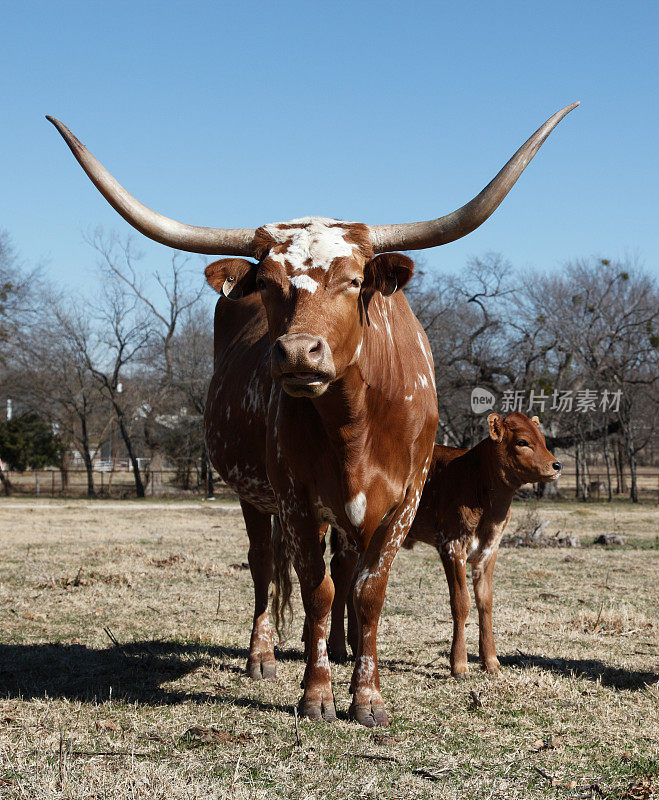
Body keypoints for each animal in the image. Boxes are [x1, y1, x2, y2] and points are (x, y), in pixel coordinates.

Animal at [47, 101, 576, 724]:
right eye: (272, 283)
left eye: (353, 280)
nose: (299, 352)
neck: (354, 424)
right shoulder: (298, 499)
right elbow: (314, 589)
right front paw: (318, 691)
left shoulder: (402, 503)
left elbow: (368, 590)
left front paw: (366, 695)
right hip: (256, 495)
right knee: (264, 565)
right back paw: (266, 655)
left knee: (341, 569)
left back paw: (344, 651)